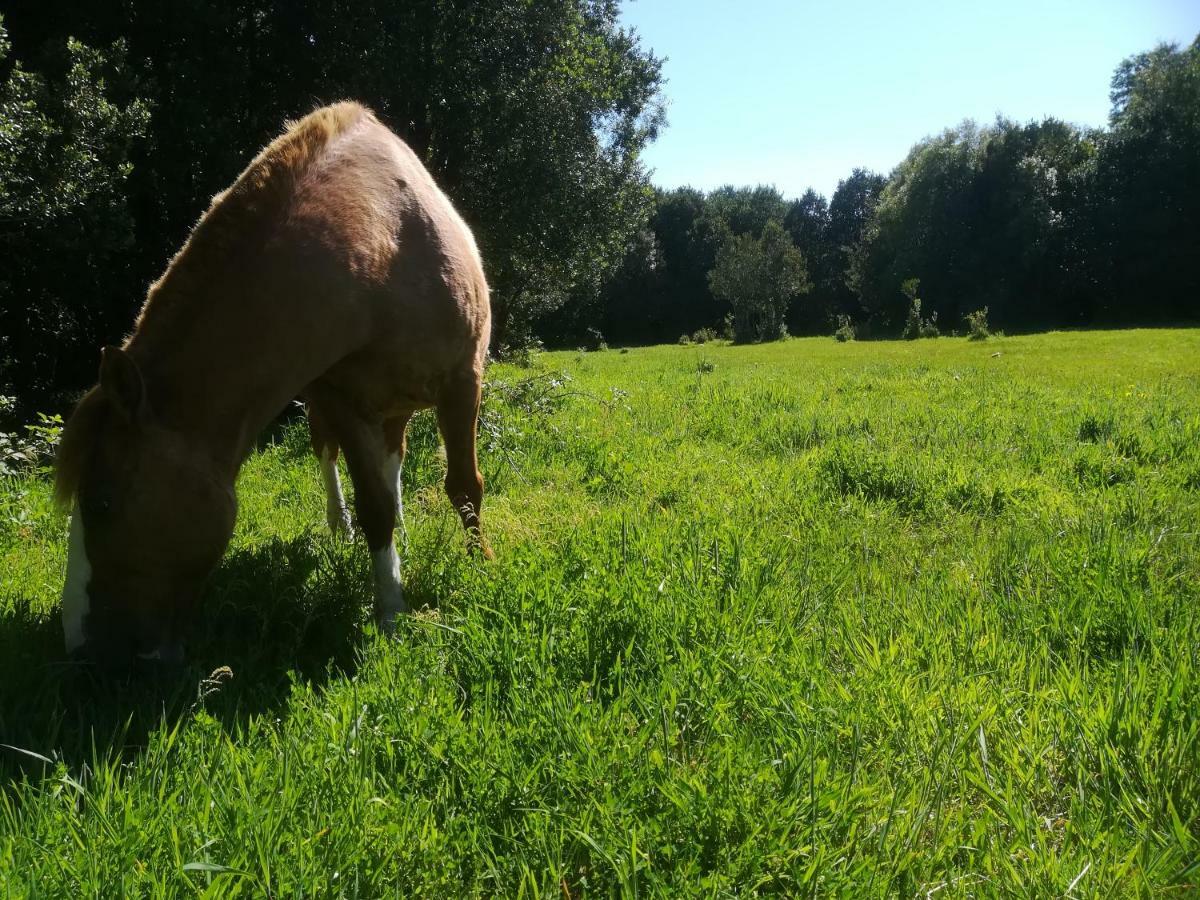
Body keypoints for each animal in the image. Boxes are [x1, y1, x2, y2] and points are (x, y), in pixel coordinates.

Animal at [51, 103, 492, 672]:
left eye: (102, 502)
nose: (79, 648)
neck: (383, 242)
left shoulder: (462, 382)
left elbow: (463, 487)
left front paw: (479, 567)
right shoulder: (341, 399)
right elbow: (372, 505)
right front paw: (390, 608)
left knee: (395, 459)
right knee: (334, 458)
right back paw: (346, 528)